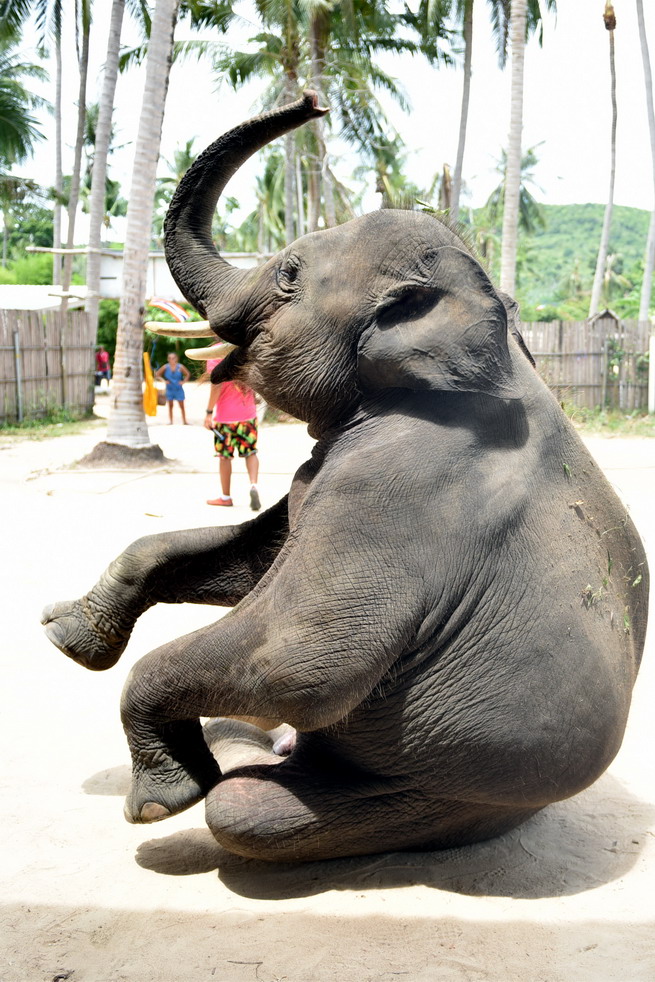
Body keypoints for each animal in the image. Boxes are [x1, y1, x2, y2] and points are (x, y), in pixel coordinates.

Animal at [42, 92, 652, 860]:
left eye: (289, 275)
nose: (313, 103)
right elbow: (250, 558)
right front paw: (62, 635)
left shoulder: (399, 486)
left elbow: (301, 660)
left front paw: (156, 804)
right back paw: (248, 746)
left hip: (439, 801)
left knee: (242, 811)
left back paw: (235, 774)